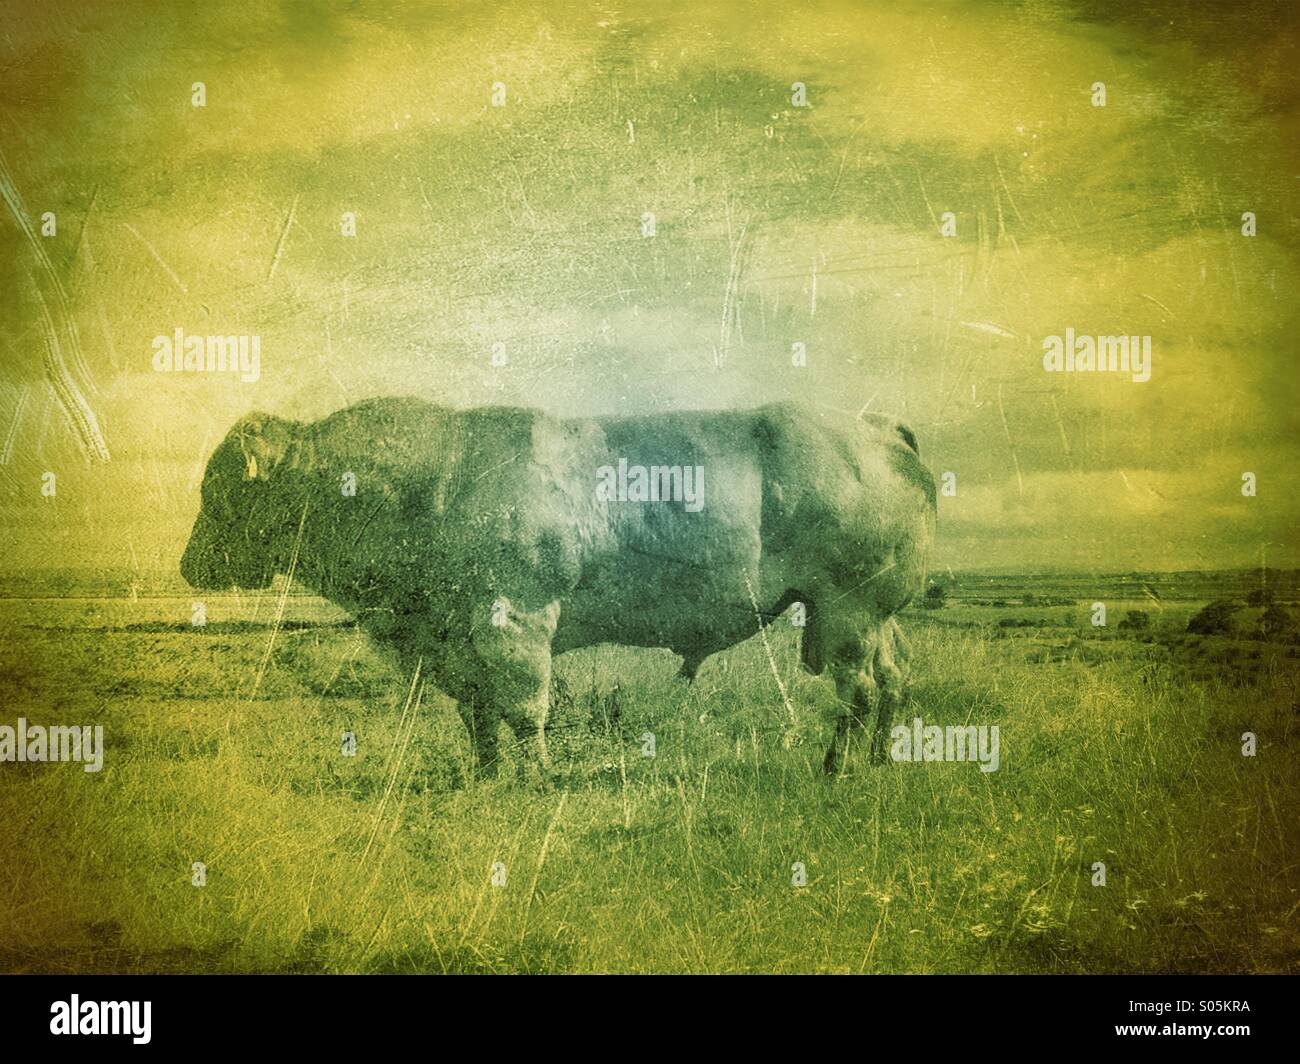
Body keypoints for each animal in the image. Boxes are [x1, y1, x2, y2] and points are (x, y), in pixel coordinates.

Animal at [180, 398, 935, 778]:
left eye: (221, 486)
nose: (188, 566)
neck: (434, 479)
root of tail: (876, 428)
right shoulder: (459, 645)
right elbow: (479, 714)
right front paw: (487, 776)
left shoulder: (515, 623)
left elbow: (524, 708)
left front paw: (540, 777)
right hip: (875, 618)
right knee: (894, 678)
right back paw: (881, 760)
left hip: (846, 612)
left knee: (858, 690)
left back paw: (837, 767)